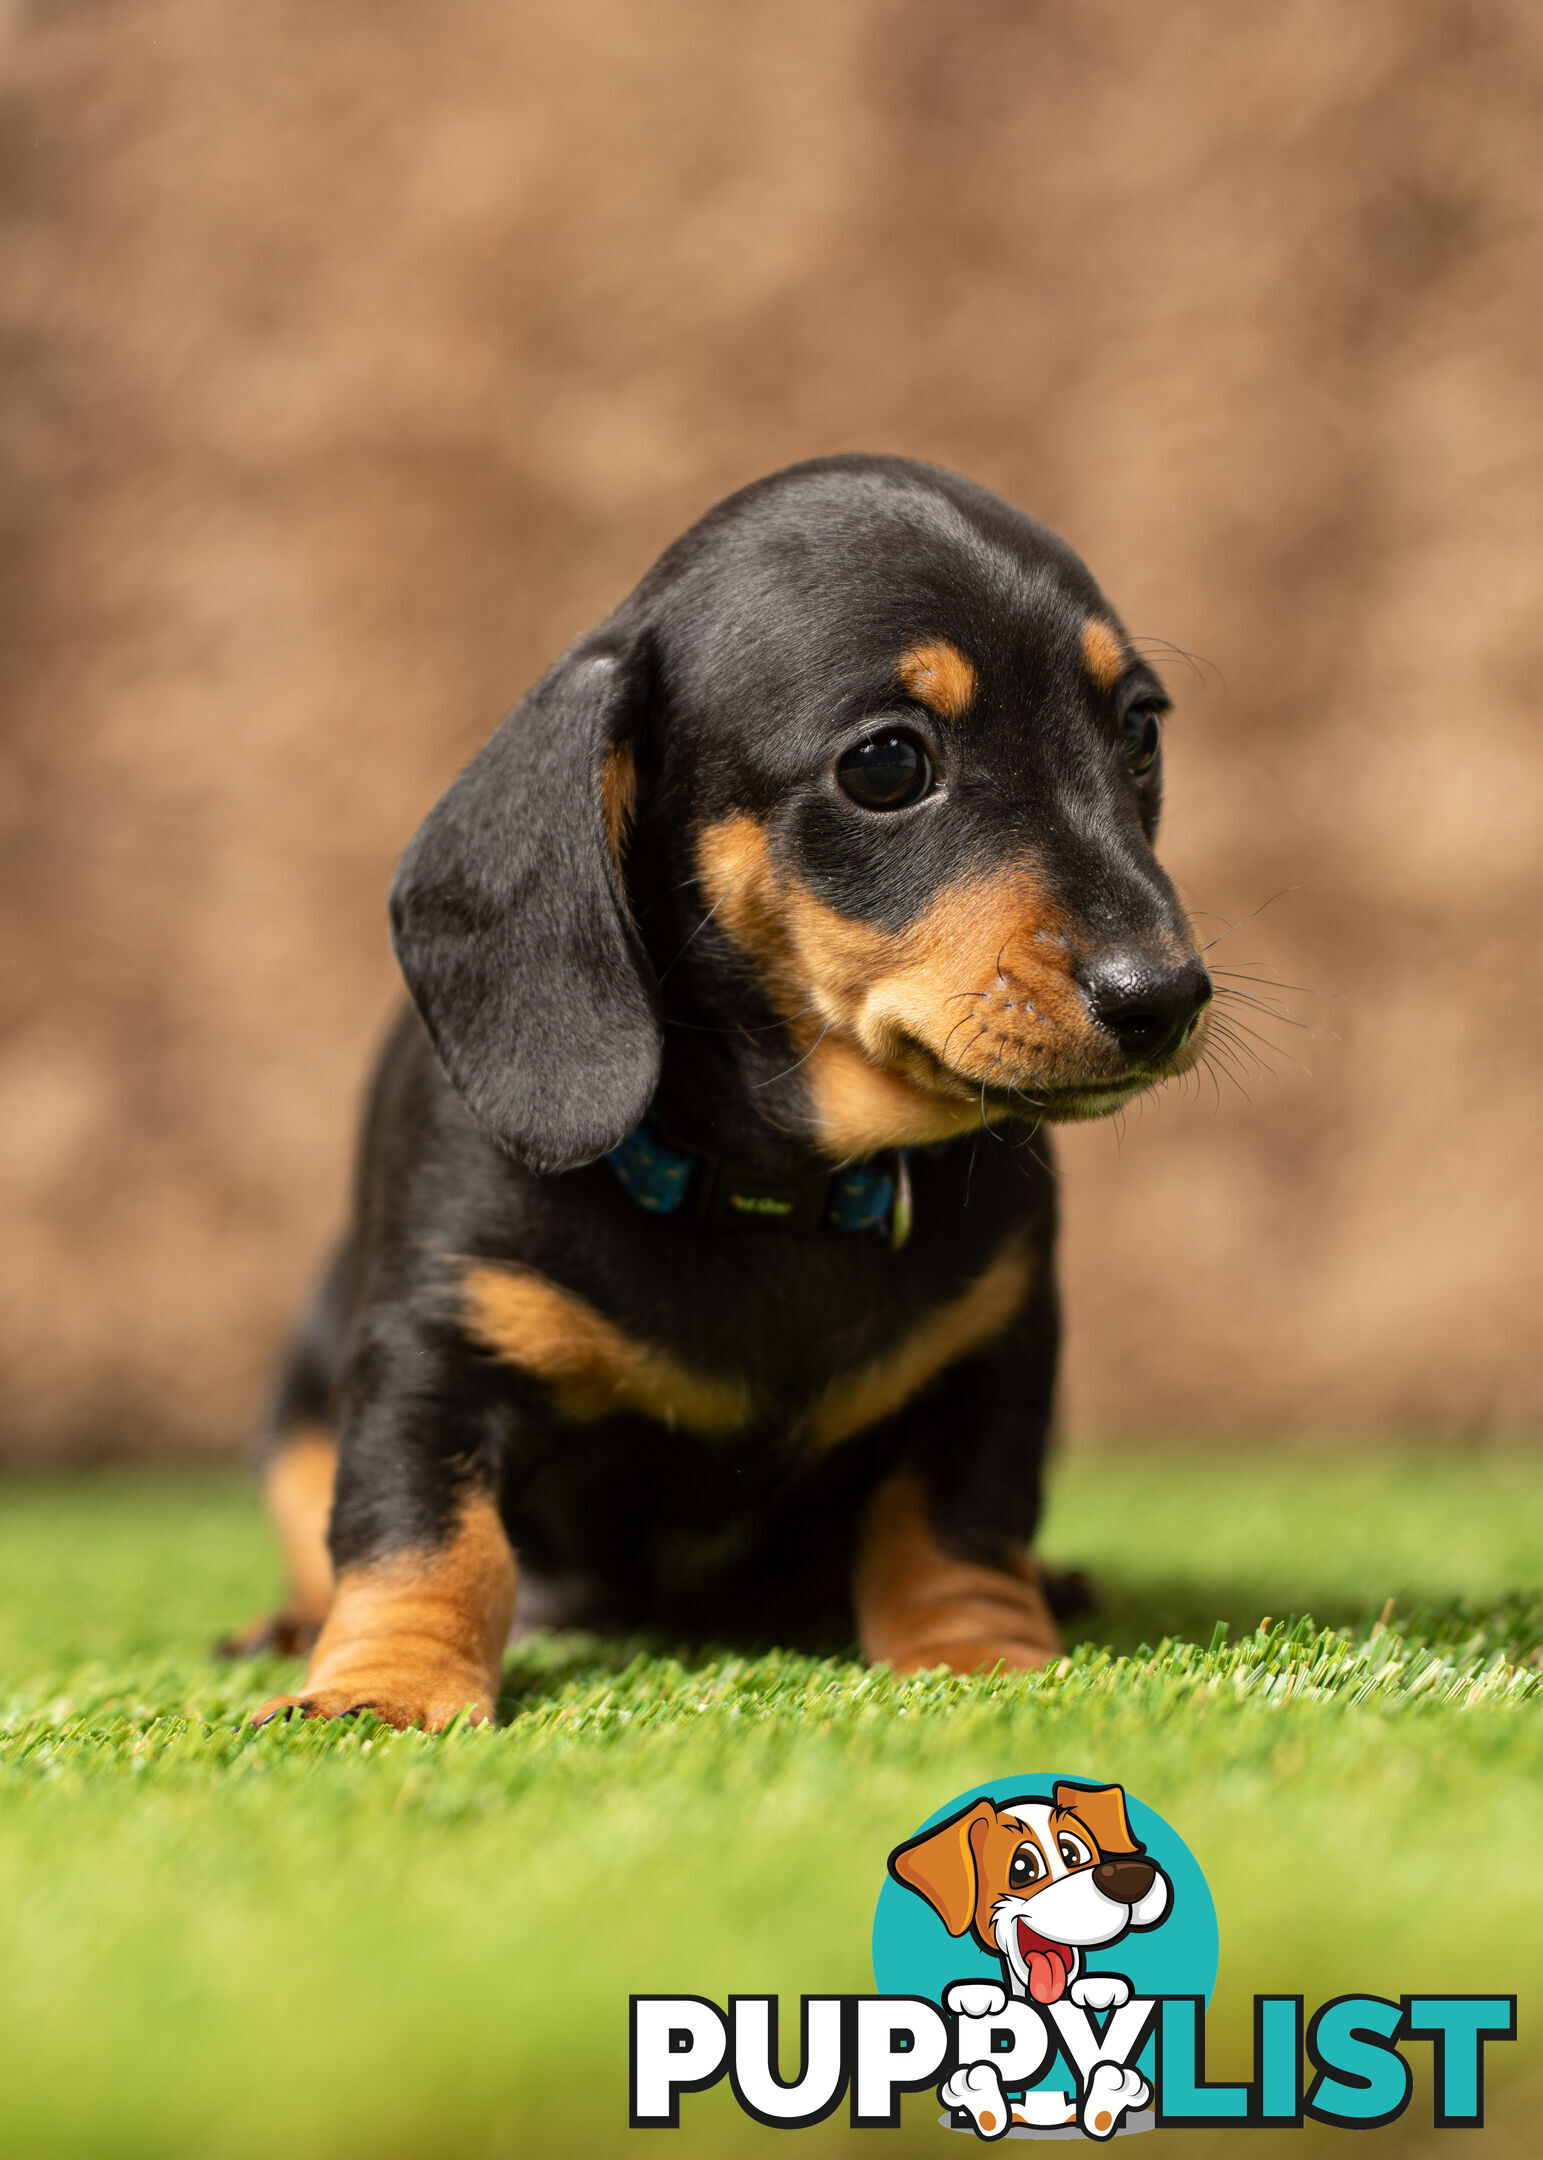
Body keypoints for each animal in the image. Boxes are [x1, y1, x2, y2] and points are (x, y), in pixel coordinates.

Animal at [234, 460, 1210, 1736]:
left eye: (1138, 729)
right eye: (885, 765)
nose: (1165, 996)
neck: (771, 1188)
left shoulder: (995, 1352)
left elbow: (956, 1522)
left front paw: (982, 1656)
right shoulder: (433, 1351)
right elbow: (421, 1536)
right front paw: (381, 1690)